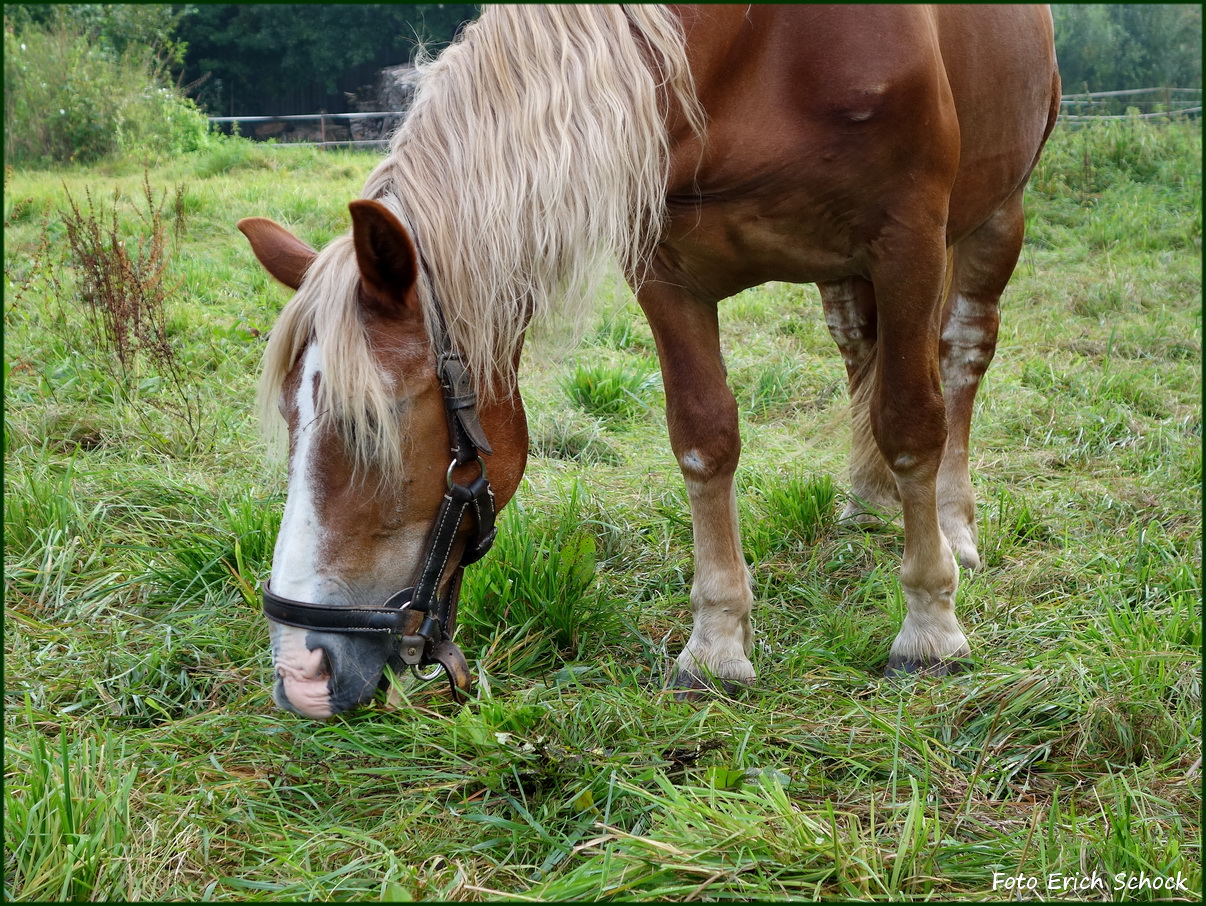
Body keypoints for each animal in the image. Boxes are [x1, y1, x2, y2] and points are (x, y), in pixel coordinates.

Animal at [239, 3, 1061, 719]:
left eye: (372, 425)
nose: (301, 674)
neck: (762, 46)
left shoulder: (908, 242)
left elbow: (912, 424)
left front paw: (930, 629)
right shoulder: (667, 272)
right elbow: (704, 439)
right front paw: (717, 648)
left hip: (994, 218)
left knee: (960, 357)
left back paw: (954, 527)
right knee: (860, 349)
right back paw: (867, 496)